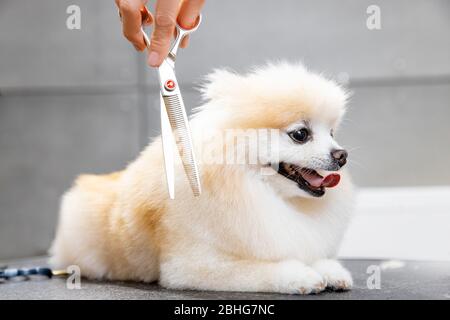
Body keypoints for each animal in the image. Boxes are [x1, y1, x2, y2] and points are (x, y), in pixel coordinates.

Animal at [50, 62, 356, 296]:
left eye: (331, 133)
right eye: (301, 134)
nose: (342, 154)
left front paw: (329, 270)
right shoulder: (190, 266)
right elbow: (258, 270)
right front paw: (301, 276)